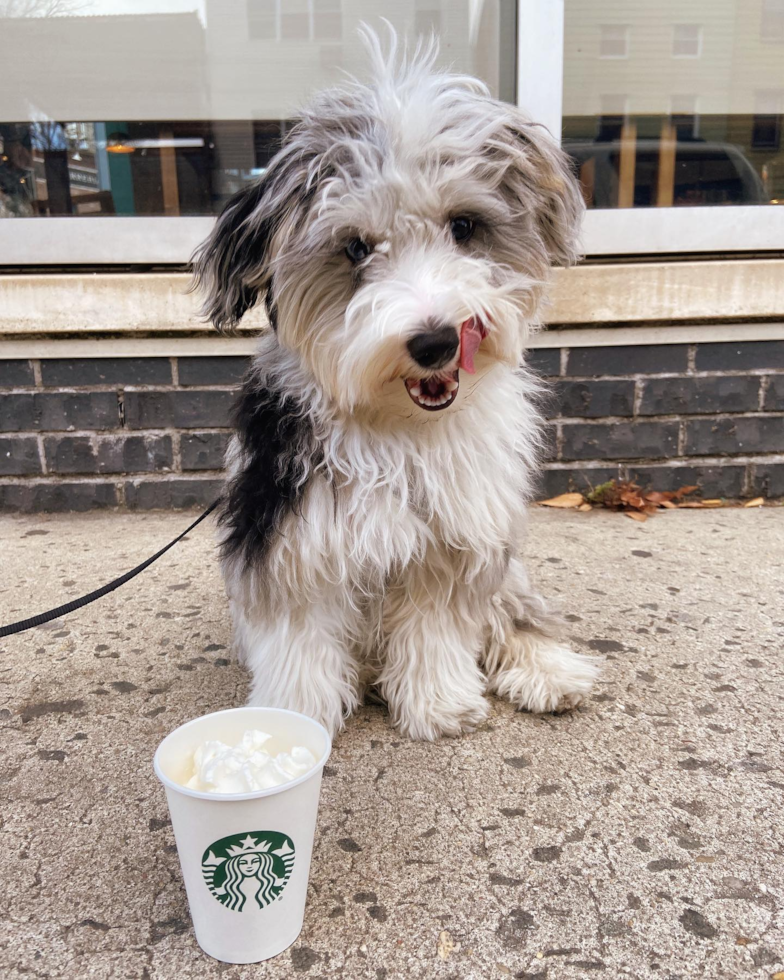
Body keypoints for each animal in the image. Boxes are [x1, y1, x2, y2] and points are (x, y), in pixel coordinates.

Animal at [193, 26, 596, 740]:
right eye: (356, 247)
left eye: (463, 227)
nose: (436, 341)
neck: (396, 429)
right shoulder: (290, 533)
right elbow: (299, 637)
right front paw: (290, 719)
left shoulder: (457, 537)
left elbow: (437, 627)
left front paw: (438, 703)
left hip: (504, 556)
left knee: (513, 613)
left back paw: (547, 670)